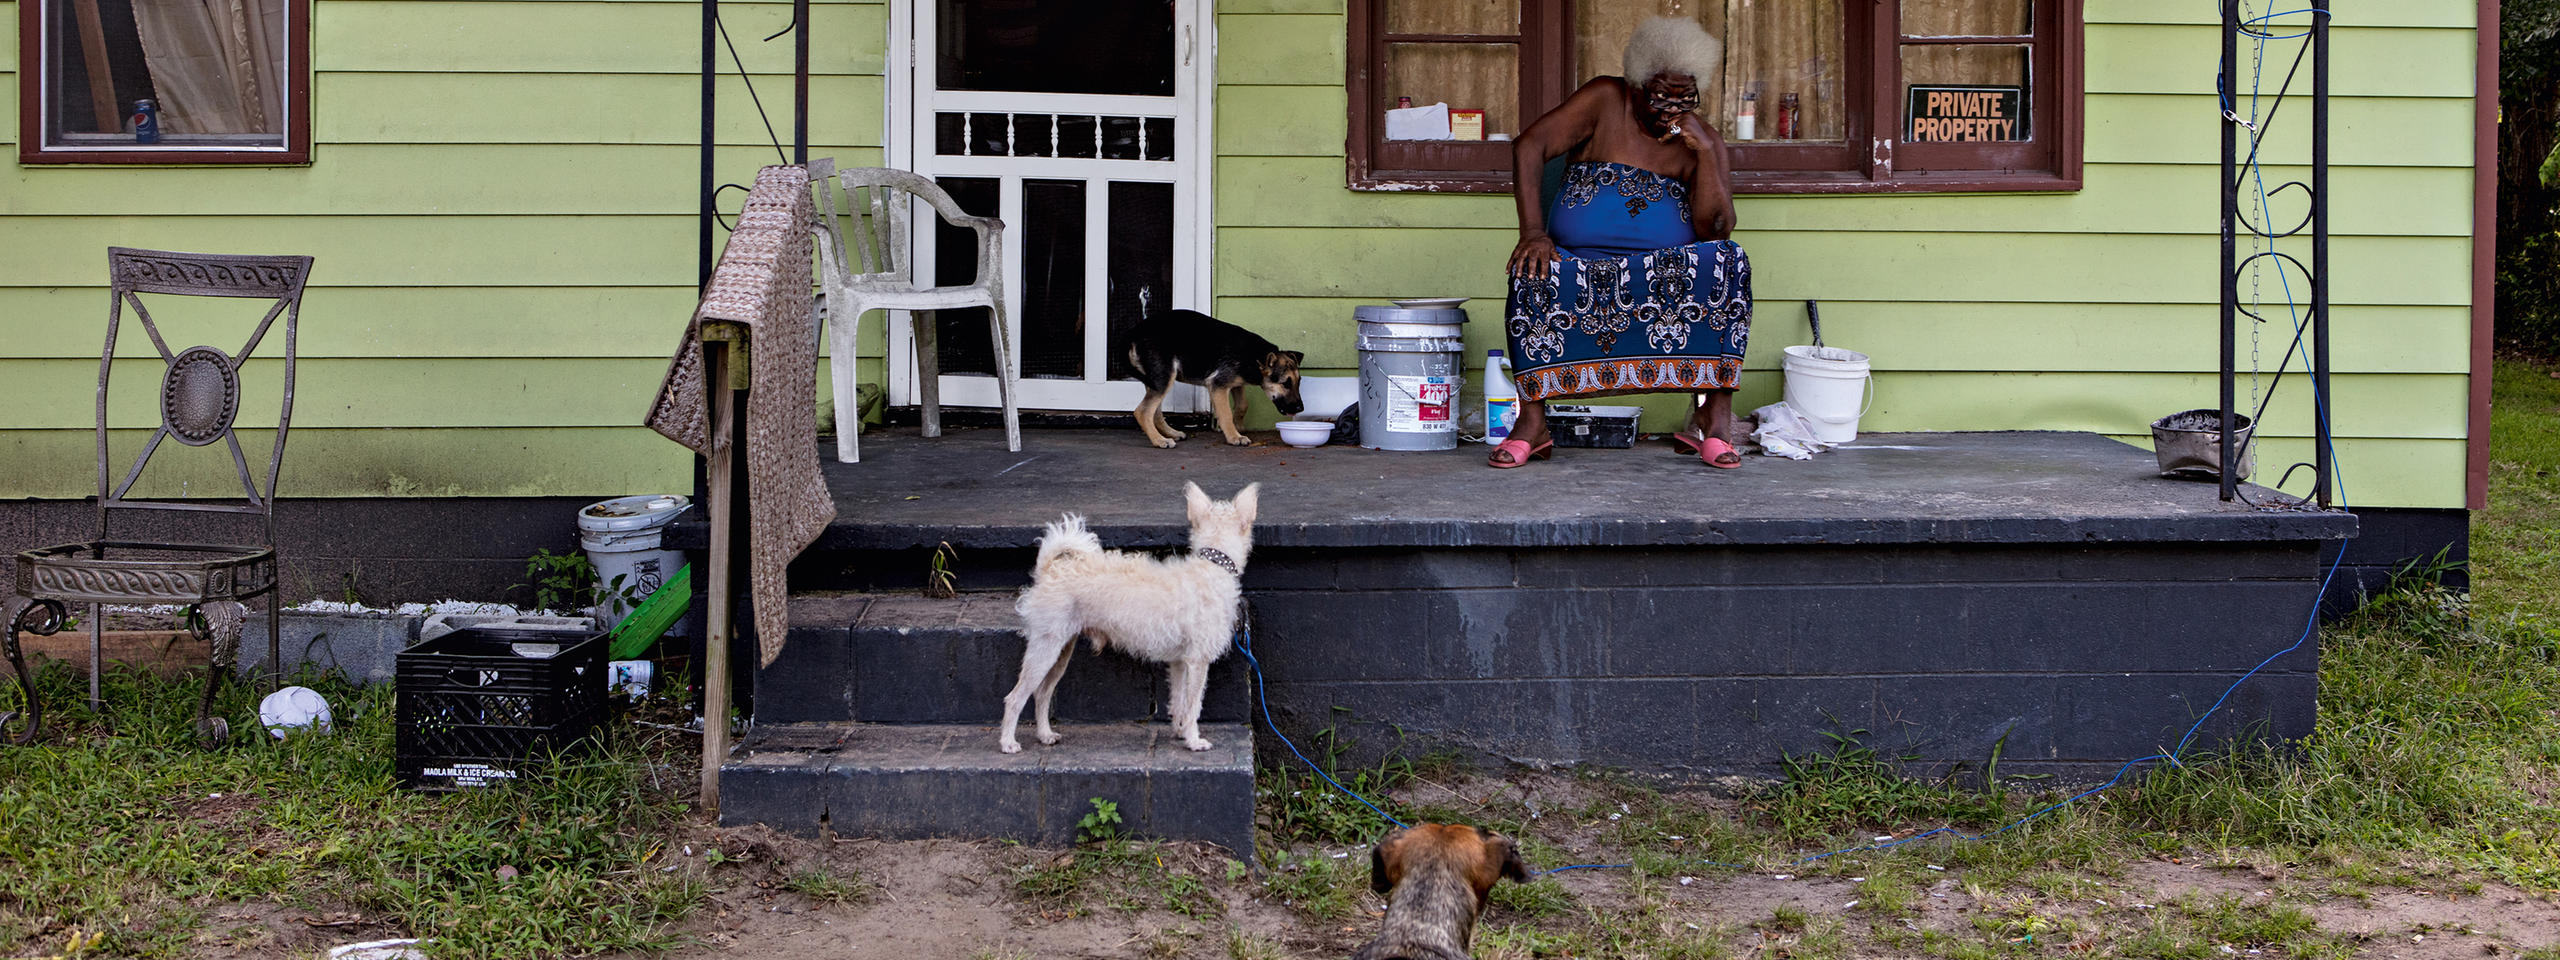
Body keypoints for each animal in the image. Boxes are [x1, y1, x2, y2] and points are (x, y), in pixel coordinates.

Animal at [998, 483, 1259, 757]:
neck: (1214, 564)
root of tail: (1048, 571)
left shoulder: (1179, 662)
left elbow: (1178, 700)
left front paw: (1180, 732)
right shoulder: (1198, 661)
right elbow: (1193, 704)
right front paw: (1194, 740)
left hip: (1060, 651)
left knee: (1042, 693)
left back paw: (1045, 735)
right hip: (1044, 650)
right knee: (1015, 698)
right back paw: (1007, 742)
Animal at [1126, 313, 1300, 453]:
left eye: (1299, 382)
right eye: (1286, 384)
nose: (1300, 408)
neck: (1253, 356)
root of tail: (1134, 332)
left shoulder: (1236, 384)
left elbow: (1242, 405)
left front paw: (1238, 427)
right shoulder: (1218, 385)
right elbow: (1226, 413)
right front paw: (1234, 436)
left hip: (1157, 380)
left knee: (1155, 412)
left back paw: (1171, 434)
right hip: (1164, 378)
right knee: (1143, 411)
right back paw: (1159, 440)